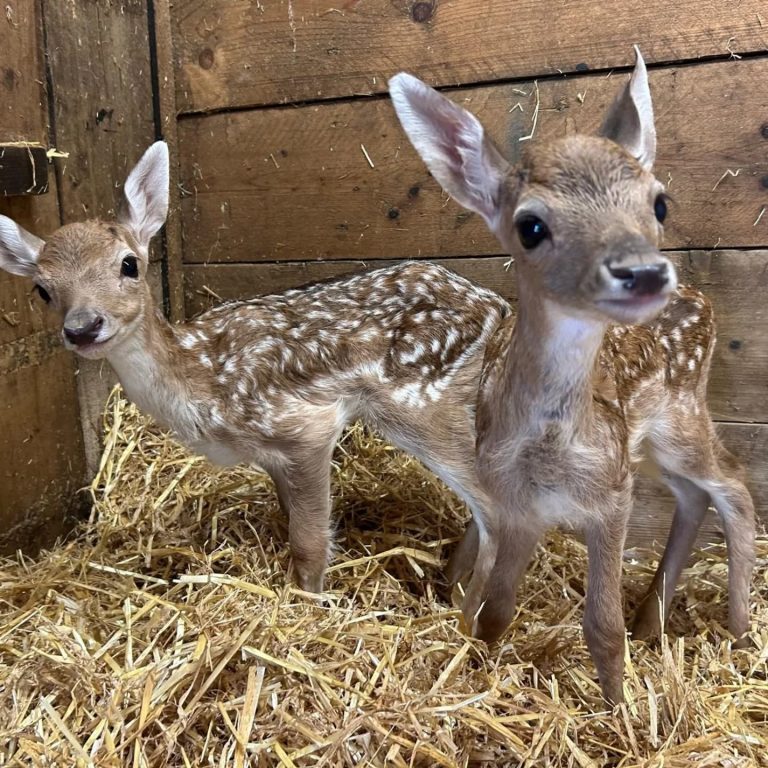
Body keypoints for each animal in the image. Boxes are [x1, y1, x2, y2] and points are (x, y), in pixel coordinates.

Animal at [0, 142, 511, 630]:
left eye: (129, 264)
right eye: (42, 289)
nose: (83, 327)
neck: (201, 379)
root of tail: (497, 307)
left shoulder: (304, 428)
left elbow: (308, 543)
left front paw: (310, 606)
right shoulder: (273, 457)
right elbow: (292, 520)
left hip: (420, 400)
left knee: (498, 506)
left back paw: (467, 624)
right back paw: (447, 585)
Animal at [389, 48, 756, 704]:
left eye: (659, 203)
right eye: (531, 226)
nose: (642, 271)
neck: (551, 447)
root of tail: (702, 299)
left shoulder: (610, 494)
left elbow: (601, 627)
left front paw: (619, 710)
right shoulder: (514, 502)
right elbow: (495, 610)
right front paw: (480, 672)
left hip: (680, 419)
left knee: (734, 483)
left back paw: (738, 629)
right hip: (649, 444)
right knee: (696, 494)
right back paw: (653, 620)